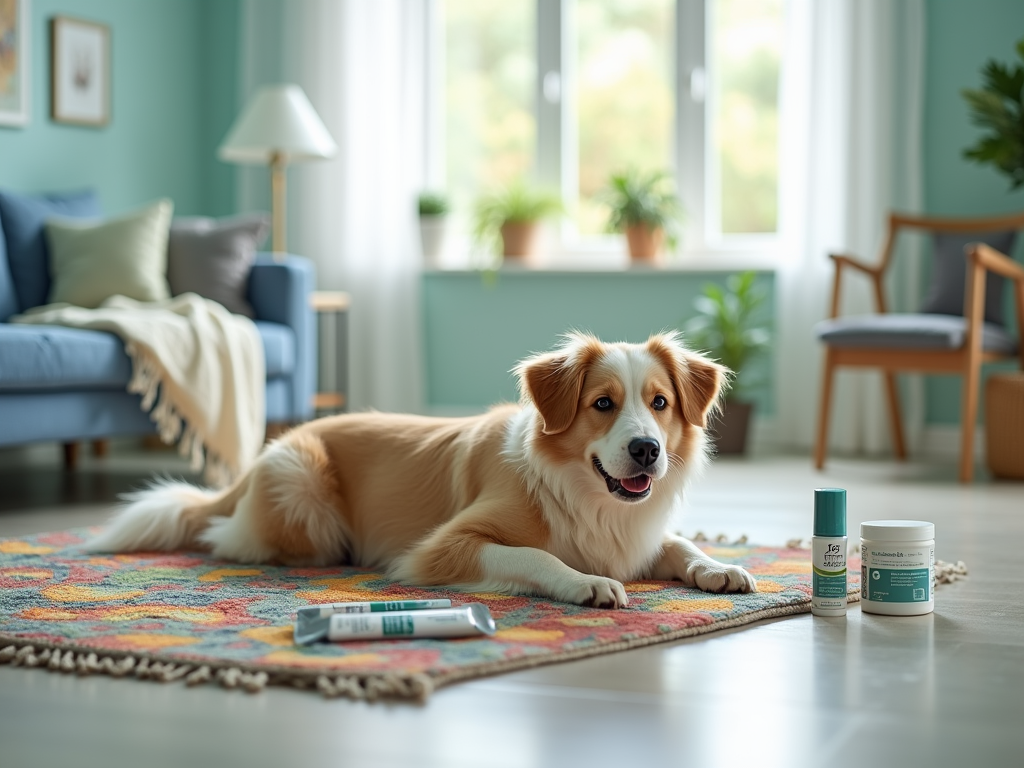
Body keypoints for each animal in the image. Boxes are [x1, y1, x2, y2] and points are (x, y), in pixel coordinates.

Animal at [88, 333, 757, 610]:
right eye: (602, 404)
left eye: (660, 403)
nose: (646, 450)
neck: (586, 494)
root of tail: (258, 460)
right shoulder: (443, 546)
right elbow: (537, 555)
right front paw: (585, 581)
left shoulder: (638, 532)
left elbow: (680, 543)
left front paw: (718, 567)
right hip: (305, 492)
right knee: (229, 540)